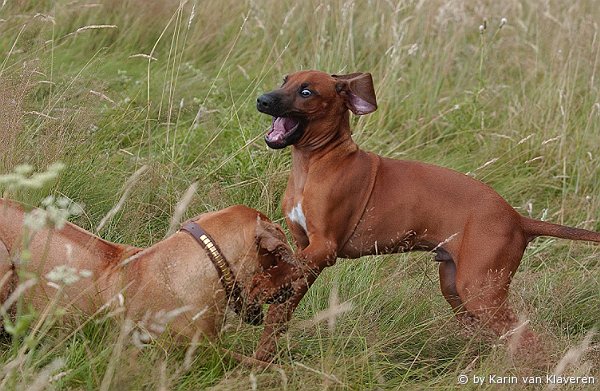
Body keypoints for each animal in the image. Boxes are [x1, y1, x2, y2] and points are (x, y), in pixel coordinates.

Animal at [251, 69, 600, 362]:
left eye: (306, 91)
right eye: (284, 80)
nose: (262, 99)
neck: (316, 163)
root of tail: (518, 219)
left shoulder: (324, 247)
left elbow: (279, 277)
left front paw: (258, 290)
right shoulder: (306, 250)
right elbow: (283, 305)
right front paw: (263, 355)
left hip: (480, 291)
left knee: (528, 340)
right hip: (455, 286)